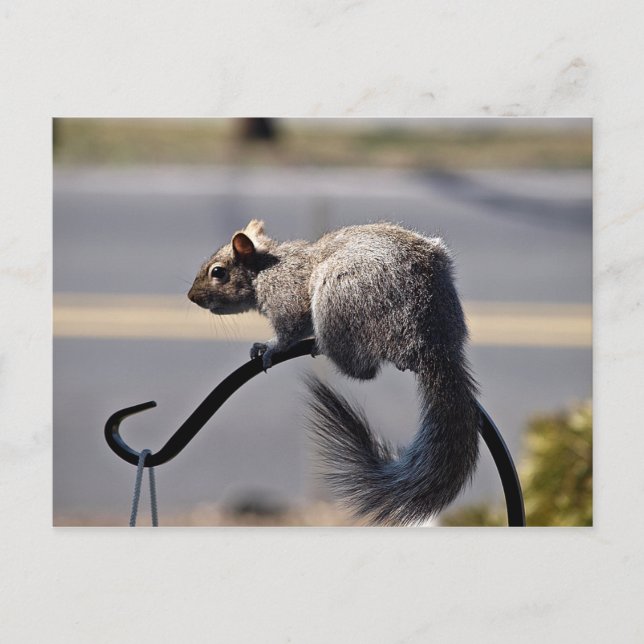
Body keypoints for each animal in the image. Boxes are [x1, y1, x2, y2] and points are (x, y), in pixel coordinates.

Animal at [188, 219, 480, 525]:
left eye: (218, 272)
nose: (191, 297)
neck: (266, 268)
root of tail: (434, 339)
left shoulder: (287, 298)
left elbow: (290, 329)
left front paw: (269, 348)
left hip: (338, 301)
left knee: (363, 370)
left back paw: (325, 348)